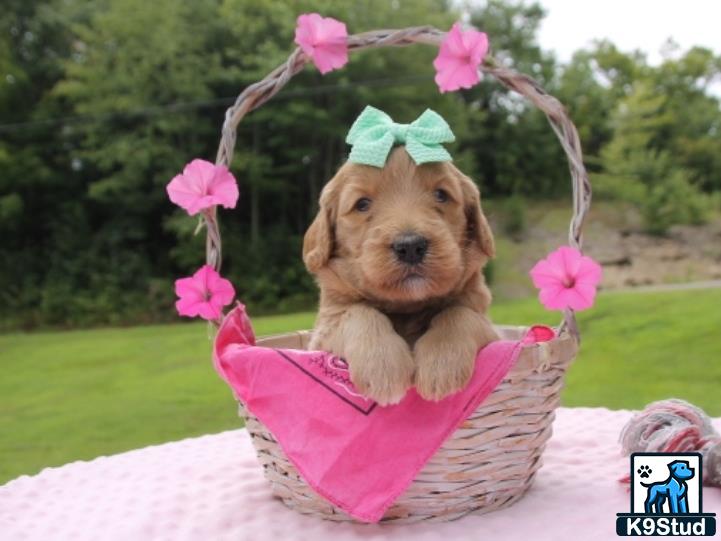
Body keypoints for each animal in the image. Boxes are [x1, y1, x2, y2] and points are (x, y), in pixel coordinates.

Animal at [300, 146, 498, 402]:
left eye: (441, 194)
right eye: (362, 204)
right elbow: (358, 313)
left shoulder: (491, 328)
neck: (406, 308)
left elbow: (459, 313)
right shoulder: (324, 330)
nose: (411, 247)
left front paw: (442, 366)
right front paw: (382, 367)